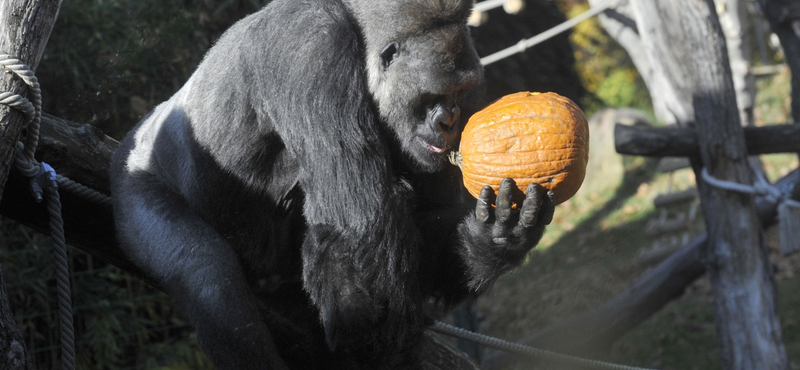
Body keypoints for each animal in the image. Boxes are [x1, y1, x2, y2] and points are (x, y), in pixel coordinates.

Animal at [109, 0, 552, 370]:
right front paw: (379, 349)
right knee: (207, 274)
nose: (450, 121)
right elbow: (358, 226)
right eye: (434, 94)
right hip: (132, 180)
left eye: (462, 91)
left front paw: (495, 238)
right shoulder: (311, 48)